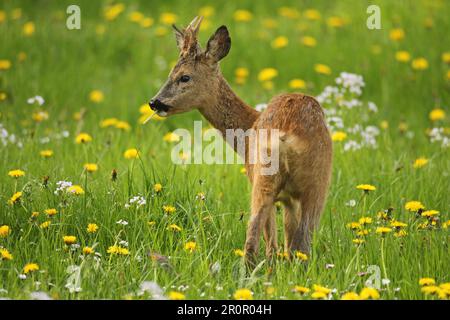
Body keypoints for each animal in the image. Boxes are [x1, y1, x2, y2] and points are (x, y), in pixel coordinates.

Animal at [149, 16, 332, 264]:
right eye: (170, 73)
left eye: (184, 77)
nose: (154, 102)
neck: (248, 129)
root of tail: (287, 133)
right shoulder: (289, 199)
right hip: (311, 182)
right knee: (295, 243)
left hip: (271, 177)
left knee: (258, 239)